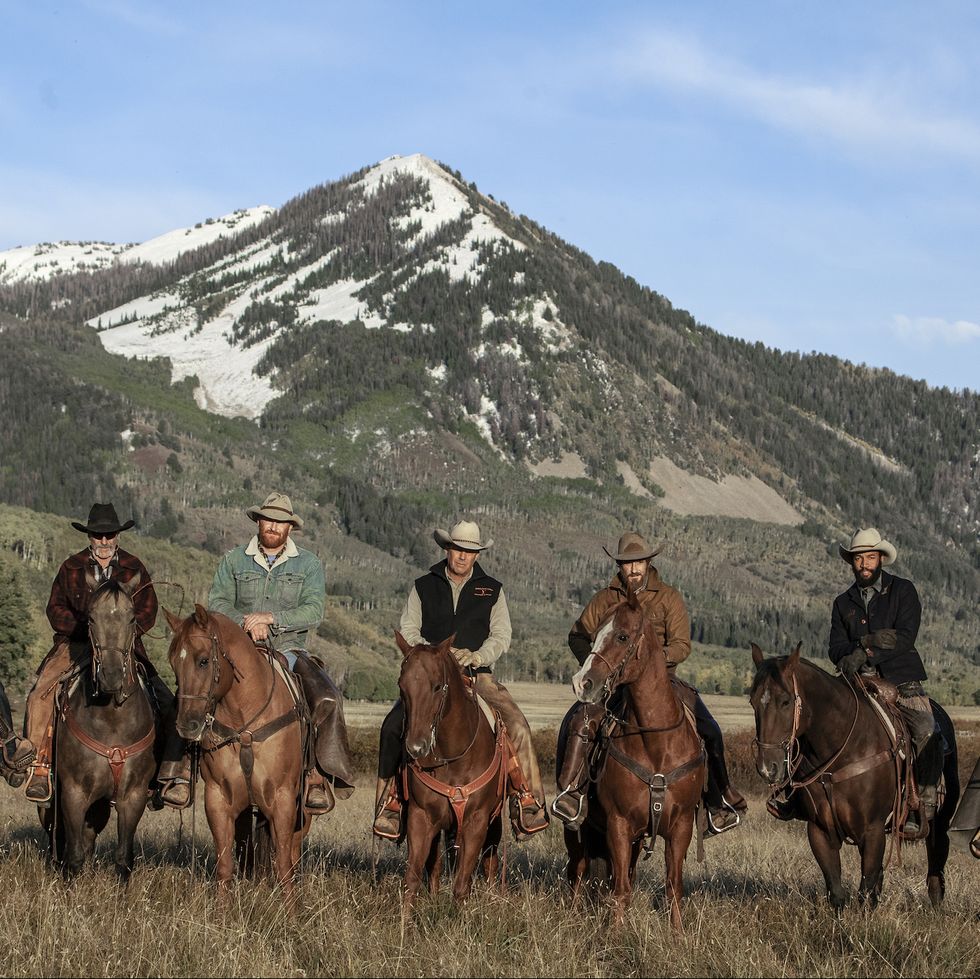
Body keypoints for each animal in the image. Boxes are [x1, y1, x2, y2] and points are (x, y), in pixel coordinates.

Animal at [43, 576, 159, 880]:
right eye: (91, 618)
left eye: (132, 618)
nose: (111, 676)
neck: (112, 720)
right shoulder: (73, 793)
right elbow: (72, 857)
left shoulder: (133, 797)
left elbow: (123, 858)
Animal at [165, 608, 310, 908]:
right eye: (173, 664)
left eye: (203, 660)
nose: (187, 726)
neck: (245, 722)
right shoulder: (218, 799)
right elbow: (225, 865)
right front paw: (222, 913)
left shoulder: (283, 799)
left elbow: (284, 864)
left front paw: (291, 915)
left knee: (292, 854)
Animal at [396, 632, 510, 916]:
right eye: (402, 686)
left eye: (438, 686)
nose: (416, 747)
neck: (452, 757)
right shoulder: (420, 817)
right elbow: (412, 877)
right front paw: (404, 924)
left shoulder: (476, 821)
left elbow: (461, 883)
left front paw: (460, 920)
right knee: (435, 865)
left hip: (493, 824)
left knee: (489, 863)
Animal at [568, 592, 704, 932]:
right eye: (594, 635)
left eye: (622, 636)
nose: (582, 683)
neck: (656, 745)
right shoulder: (618, 824)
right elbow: (621, 889)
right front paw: (615, 935)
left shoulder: (681, 827)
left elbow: (673, 885)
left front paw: (678, 935)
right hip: (578, 830)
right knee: (578, 872)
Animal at [752, 644, 956, 912]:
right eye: (753, 702)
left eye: (785, 701)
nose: (768, 768)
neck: (843, 749)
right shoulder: (819, 830)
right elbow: (837, 891)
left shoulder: (872, 831)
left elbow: (865, 891)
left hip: (939, 820)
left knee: (936, 861)